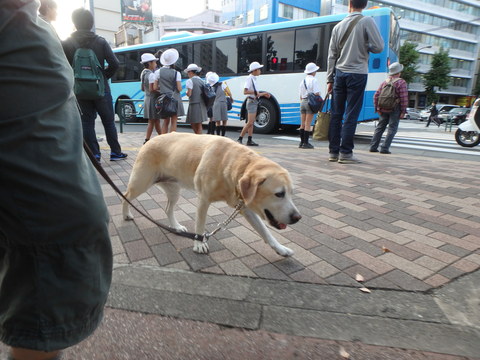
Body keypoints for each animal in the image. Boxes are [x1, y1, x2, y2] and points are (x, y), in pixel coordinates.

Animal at [123, 132, 300, 256]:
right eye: (279, 194)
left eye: (291, 193)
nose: (298, 218)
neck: (231, 165)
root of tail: (150, 139)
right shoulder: (203, 199)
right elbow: (200, 226)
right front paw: (199, 244)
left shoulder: (244, 207)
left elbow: (266, 232)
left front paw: (280, 249)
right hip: (140, 183)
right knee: (125, 195)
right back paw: (126, 215)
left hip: (174, 190)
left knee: (168, 209)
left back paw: (176, 226)